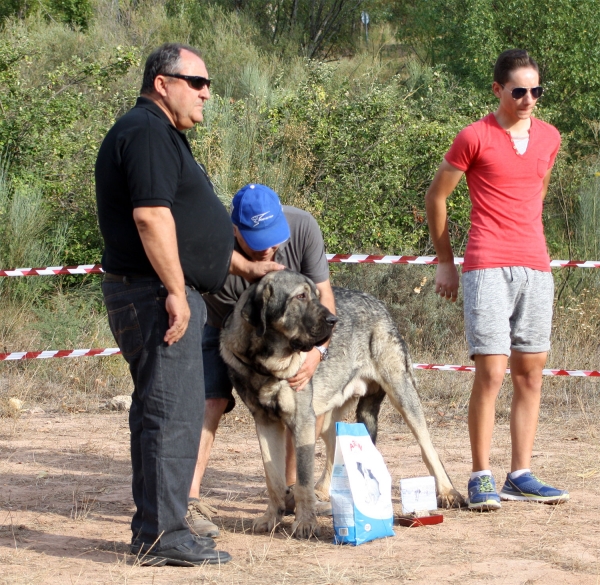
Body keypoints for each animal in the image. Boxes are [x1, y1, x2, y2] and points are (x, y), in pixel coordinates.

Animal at [220, 272, 464, 536]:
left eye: (317, 295)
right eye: (301, 296)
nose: (333, 320)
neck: (267, 365)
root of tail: (379, 305)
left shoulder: (301, 421)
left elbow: (302, 480)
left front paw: (305, 523)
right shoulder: (265, 423)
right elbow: (273, 479)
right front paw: (271, 518)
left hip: (403, 396)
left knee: (427, 446)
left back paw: (448, 492)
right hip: (329, 417)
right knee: (332, 454)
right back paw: (323, 491)